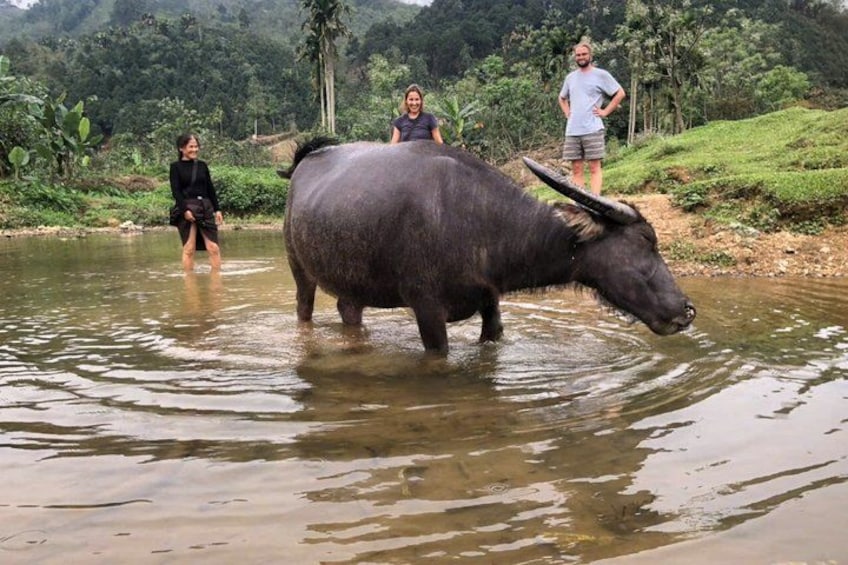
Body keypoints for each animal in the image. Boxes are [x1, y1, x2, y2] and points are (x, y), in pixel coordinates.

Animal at [279, 138, 695, 353]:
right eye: (646, 242)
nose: (686, 310)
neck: (479, 221)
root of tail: (303, 163)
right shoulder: (426, 309)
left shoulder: (491, 302)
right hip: (299, 271)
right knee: (305, 308)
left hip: (353, 284)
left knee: (348, 310)